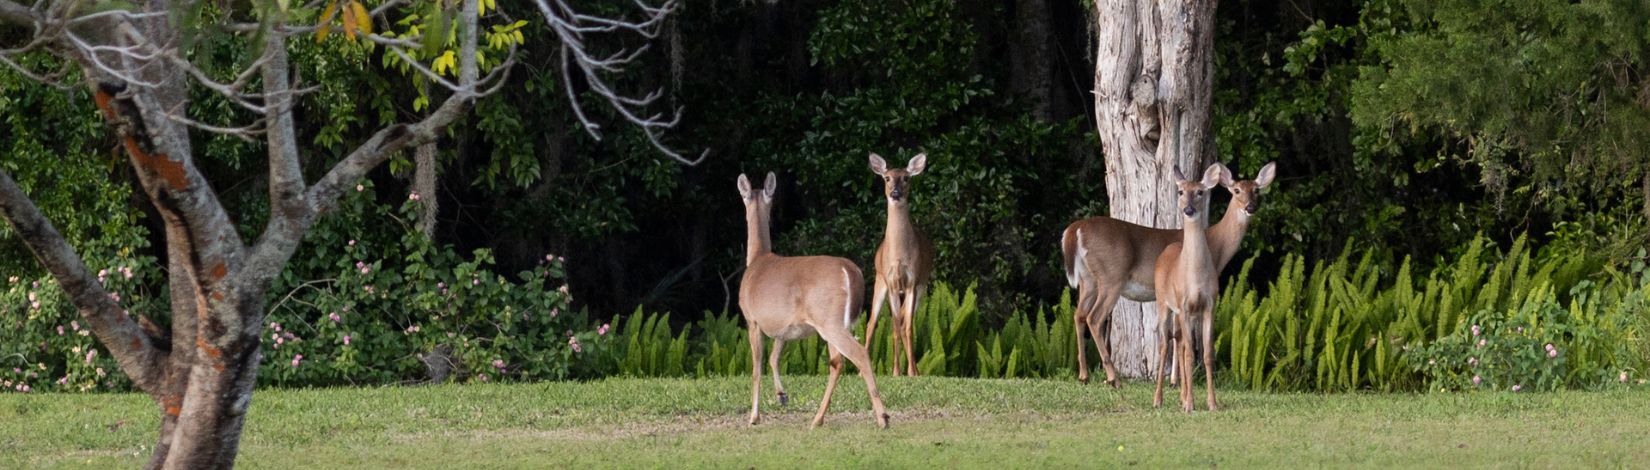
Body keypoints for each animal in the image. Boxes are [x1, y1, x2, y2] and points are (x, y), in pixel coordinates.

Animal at [736, 172, 890, 429]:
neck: (757, 260)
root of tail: (849, 270)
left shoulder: (753, 320)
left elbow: (756, 367)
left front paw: (753, 416)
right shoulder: (783, 327)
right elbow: (774, 357)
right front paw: (782, 395)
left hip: (829, 320)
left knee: (858, 354)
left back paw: (883, 417)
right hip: (838, 322)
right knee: (837, 362)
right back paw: (818, 418)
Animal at [862, 153, 937, 377]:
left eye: (906, 178)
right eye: (887, 178)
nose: (895, 193)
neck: (899, 256)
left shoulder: (912, 282)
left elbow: (908, 327)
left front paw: (910, 371)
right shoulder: (892, 284)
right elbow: (894, 327)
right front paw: (896, 371)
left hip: (921, 288)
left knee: (904, 320)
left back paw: (916, 369)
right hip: (879, 282)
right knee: (871, 323)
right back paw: (861, 370)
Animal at [1059, 161, 1275, 387]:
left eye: (1256, 190)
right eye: (1236, 190)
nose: (1250, 207)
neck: (1216, 246)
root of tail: (1076, 229)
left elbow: (1175, 334)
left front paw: (1174, 380)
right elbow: (1180, 335)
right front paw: (1176, 381)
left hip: (1088, 279)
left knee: (1079, 314)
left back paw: (1084, 375)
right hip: (1111, 277)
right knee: (1094, 318)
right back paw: (1112, 378)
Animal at [1152, 164, 1225, 412]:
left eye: (1200, 192)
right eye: (1181, 192)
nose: (1188, 209)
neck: (1195, 276)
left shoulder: (1209, 305)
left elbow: (1206, 354)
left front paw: (1212, 403)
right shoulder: (1183, 305)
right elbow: (1190, 356)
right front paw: (1190, 405)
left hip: (1188, 314)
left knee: (1182, 344)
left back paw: (1182, 396)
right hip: (1163, 302)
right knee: (1165, 345)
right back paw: (1158, 399)